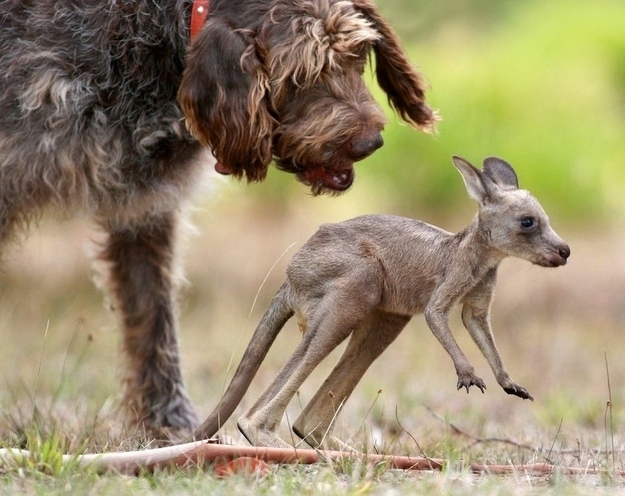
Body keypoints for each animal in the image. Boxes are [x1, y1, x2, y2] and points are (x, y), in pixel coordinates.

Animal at [0, 0, 436, 436]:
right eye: (298, 77)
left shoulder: (144, 212)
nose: (369, 143)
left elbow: (153, 321)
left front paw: (169, 427)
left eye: (356, 56)